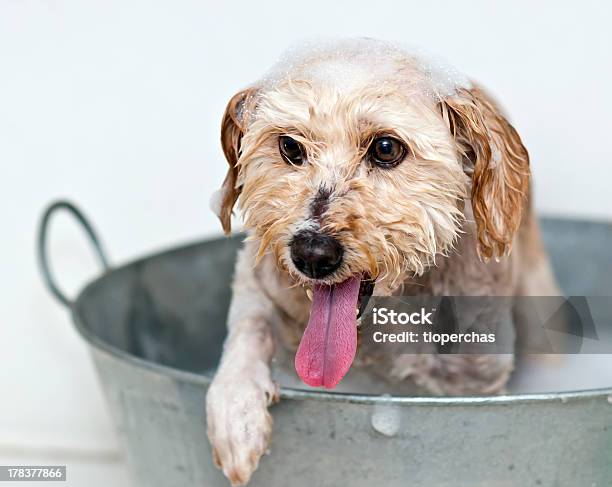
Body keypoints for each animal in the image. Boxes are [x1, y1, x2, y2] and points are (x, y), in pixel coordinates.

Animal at [204, 40, 560, 486]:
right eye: (290, 146)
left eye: (386, 148)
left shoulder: (473, 379)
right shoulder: (258, 278)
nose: (312, 253)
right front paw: (236, 414)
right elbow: (250, 324)